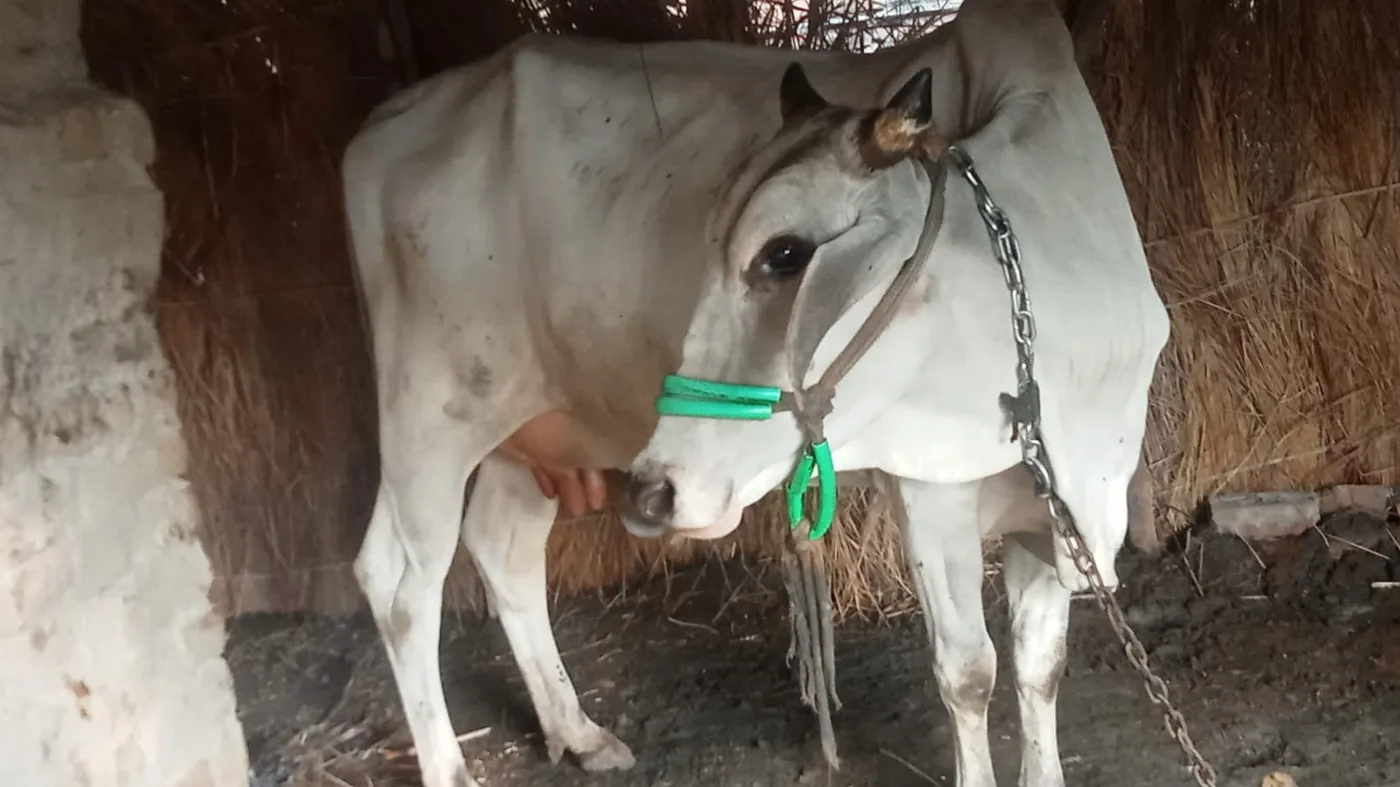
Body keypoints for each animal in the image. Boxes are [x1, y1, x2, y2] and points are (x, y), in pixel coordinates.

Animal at [340, 0, 1167, 784]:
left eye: (786, 253)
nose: (653, 491)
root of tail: (382, 123)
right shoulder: (932, 490)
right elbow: (969, 671)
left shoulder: (1051, 503)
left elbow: (1040, 664)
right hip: (429, 414)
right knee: (398, 583)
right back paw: (451, 766)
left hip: (539, 422)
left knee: (502, 548)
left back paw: (579, 731)